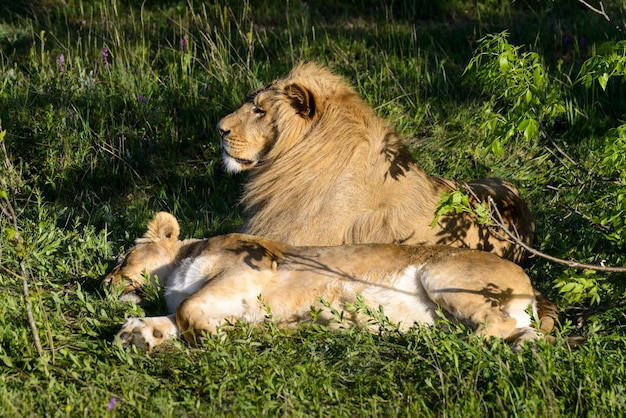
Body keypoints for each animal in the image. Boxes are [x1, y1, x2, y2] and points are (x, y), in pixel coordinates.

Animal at [106, 211, 552, 352]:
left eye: (123, 258)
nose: (102, 283)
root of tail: (530, 283)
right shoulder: (227, 300)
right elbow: (174, 318)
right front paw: (140, 333)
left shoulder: (248, 270)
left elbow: (185, 310)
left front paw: (212, 339)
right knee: (524, 332)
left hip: (440, 273)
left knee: (495, 324)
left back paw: (447, 344)